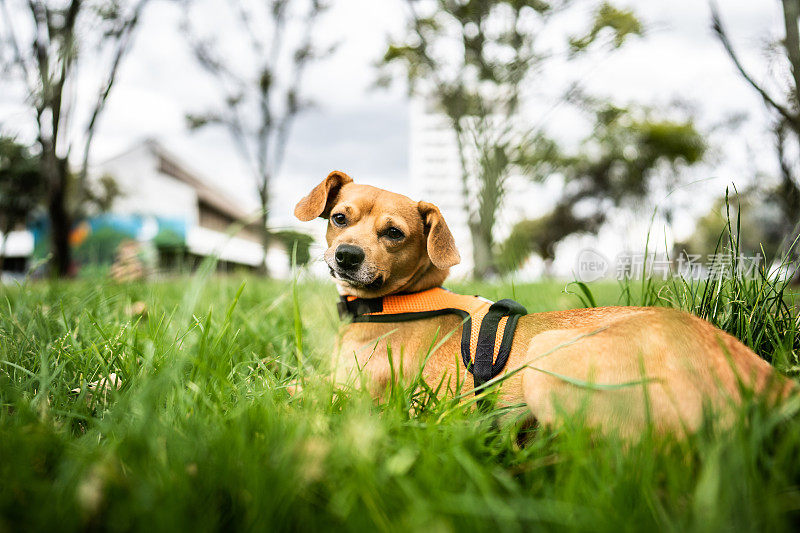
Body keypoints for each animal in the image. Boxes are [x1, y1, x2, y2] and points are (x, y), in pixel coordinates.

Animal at [296, 170, 792, 436]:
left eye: (394, 233)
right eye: (339, 218)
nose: (347, 256)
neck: (403, 301)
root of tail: (766, 381)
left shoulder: (351, 393)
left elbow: (293, 390)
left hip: (549, 356)